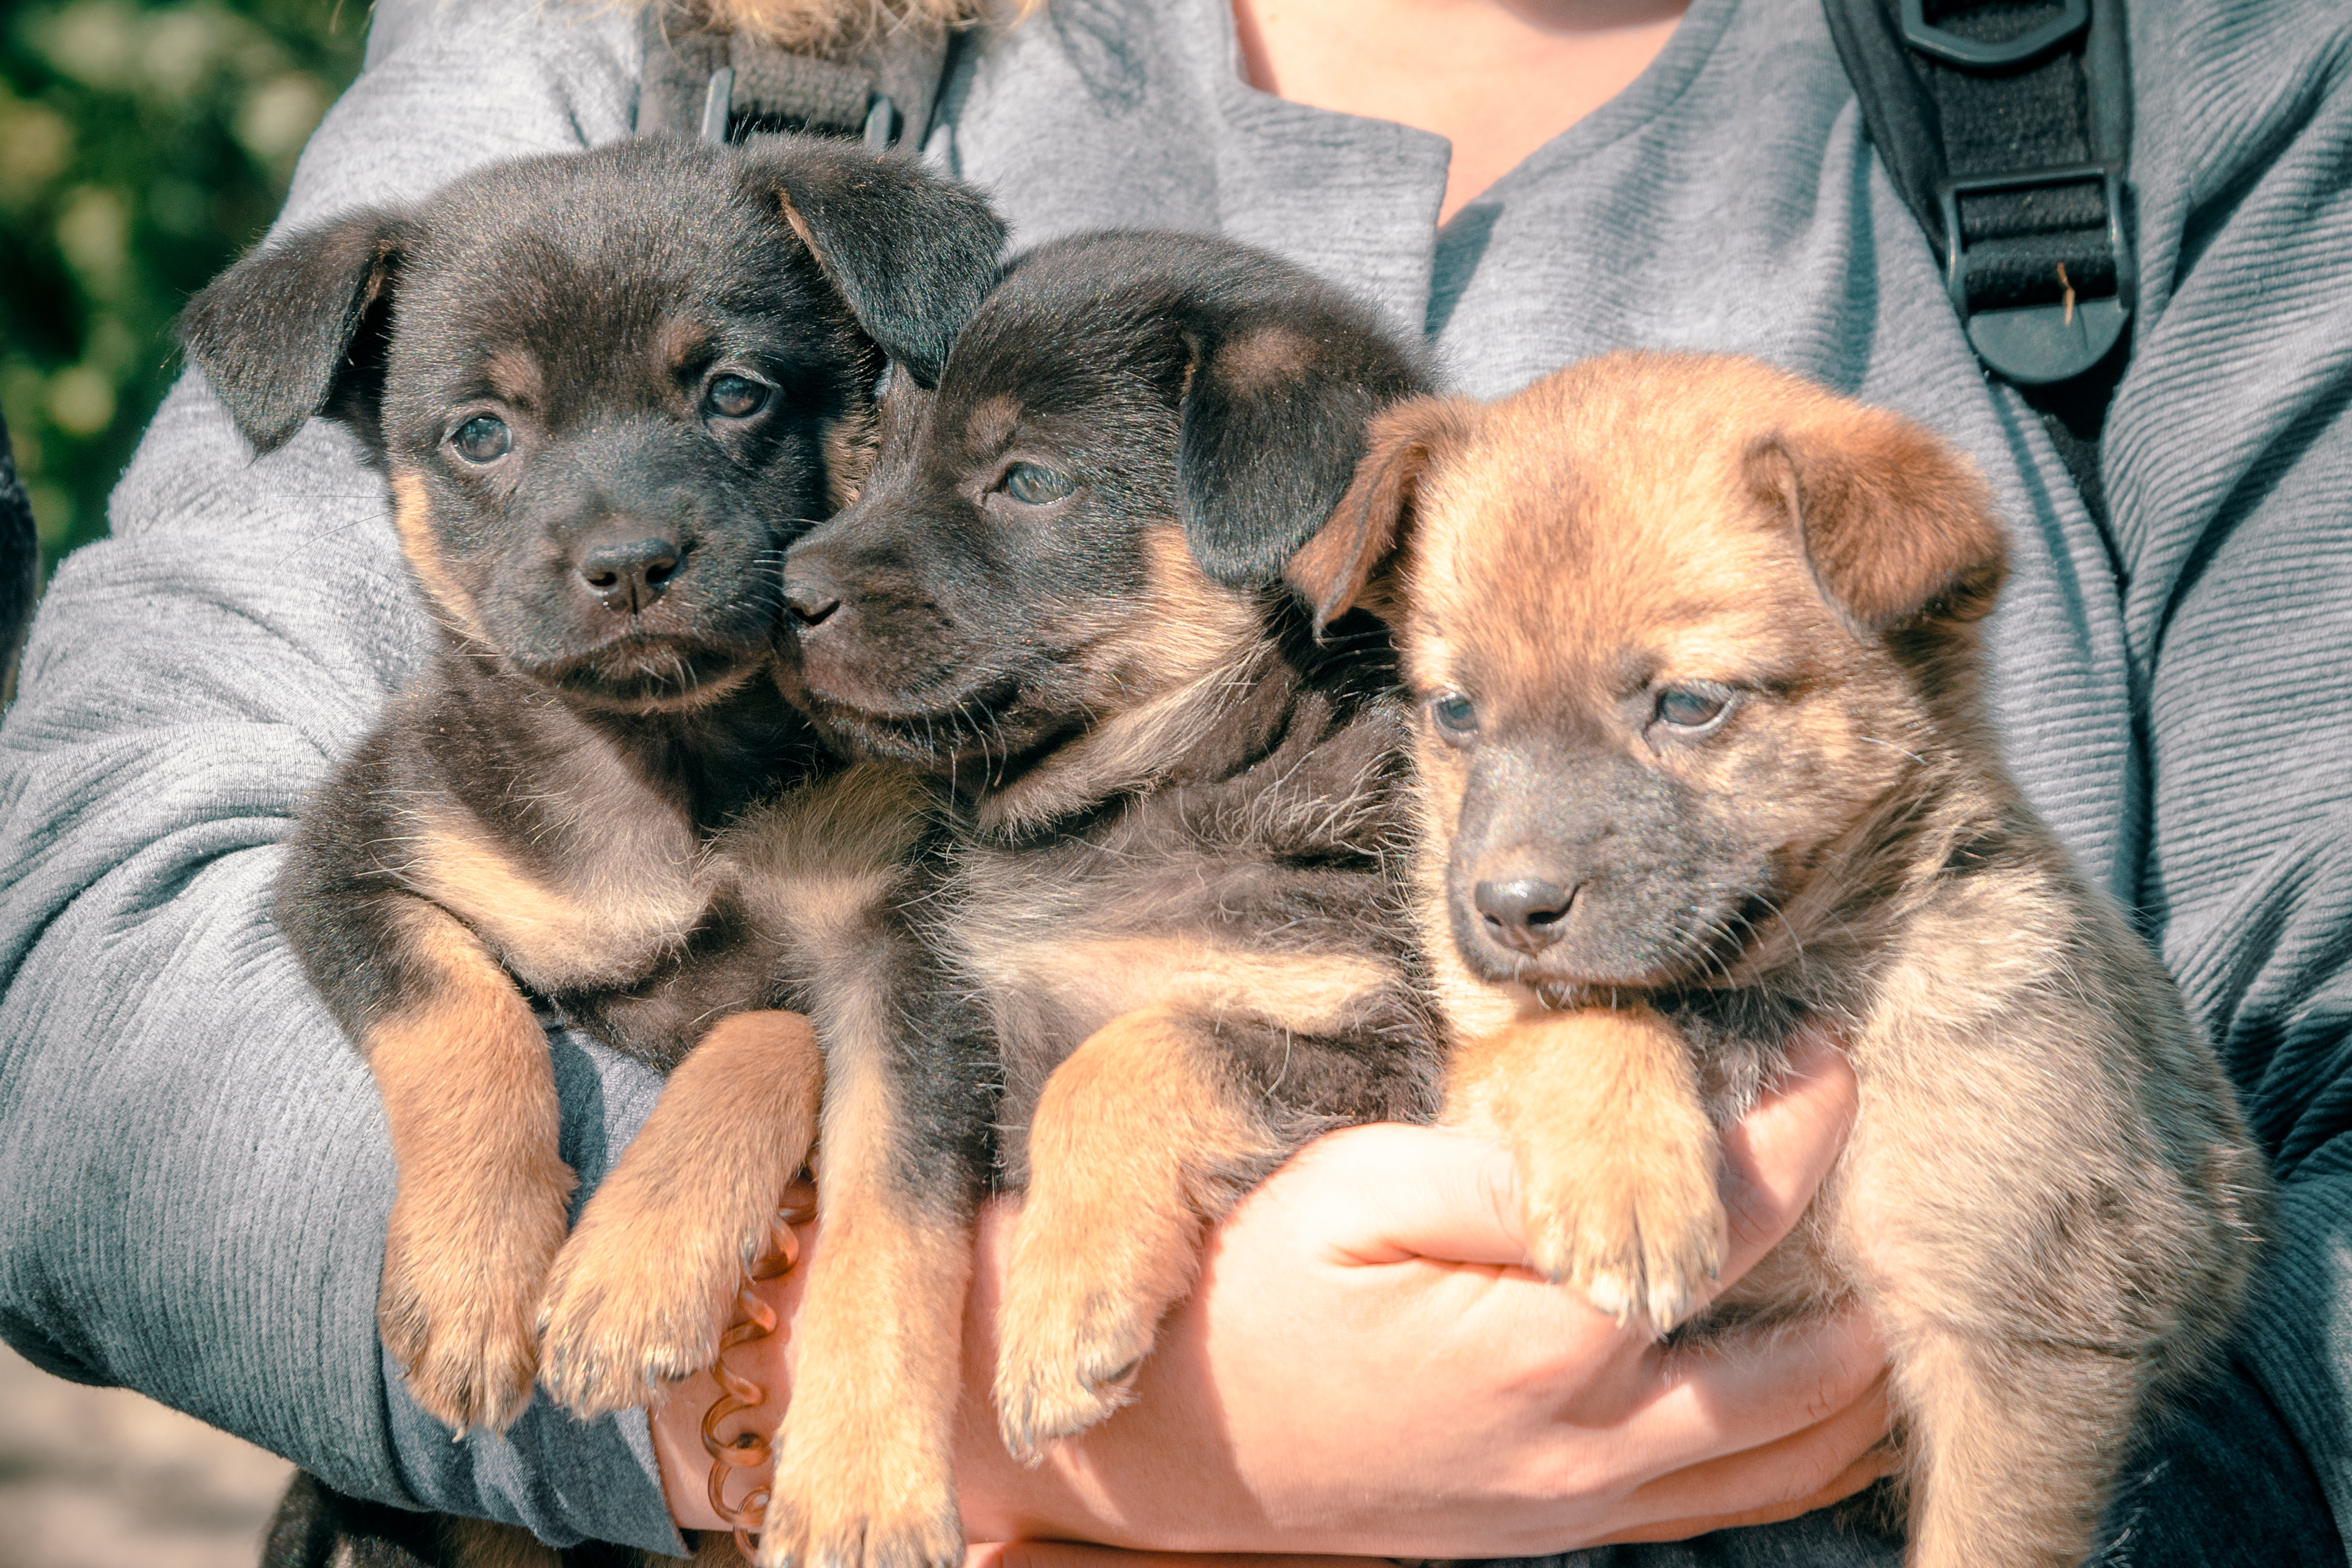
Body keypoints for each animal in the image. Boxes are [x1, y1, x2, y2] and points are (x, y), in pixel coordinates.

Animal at [178, 138, 997, 1476]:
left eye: (733, 394)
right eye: (479, 433)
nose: (629, 563)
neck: (666, 767)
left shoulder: (908, 963)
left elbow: (820, 1103)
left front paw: (648, 1286)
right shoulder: (352, 864)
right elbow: (467, 1024)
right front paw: (470, 1285)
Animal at [781, 227, 1439, 1504]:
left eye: (1029, 481)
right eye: (878, 454)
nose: (786, 598)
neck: (1134, 797)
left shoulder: (1392, 1053)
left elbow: (1141, 1048)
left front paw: (1063, 1314)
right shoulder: (955, 1021)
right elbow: (885, 1215)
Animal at [1298, 353, 2267, 1568]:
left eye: (1688, 703)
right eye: (1456, 711)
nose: (1509, 908)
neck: (1743, 1009)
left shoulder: (2023, 1329)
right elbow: (1564, 1024)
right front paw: (1624, 1183)